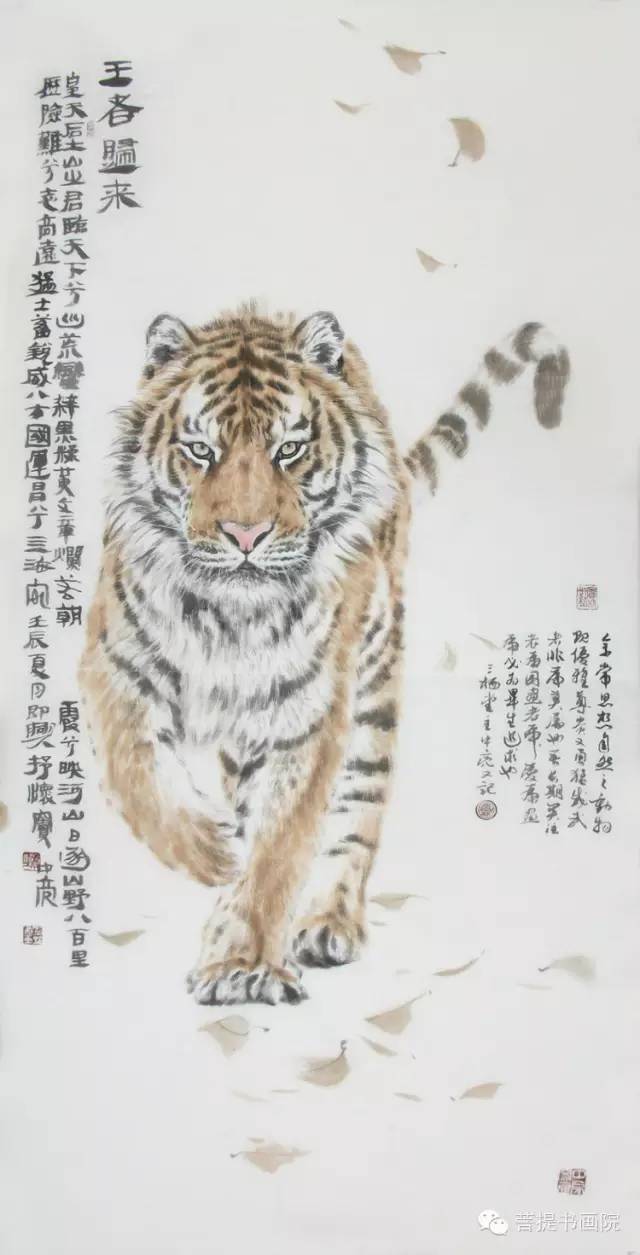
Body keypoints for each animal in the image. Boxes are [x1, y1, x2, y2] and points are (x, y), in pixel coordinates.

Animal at [79, 305, 569, 1006]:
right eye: (201, 451)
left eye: (289, 449)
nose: (247, 535)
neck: (231, 620)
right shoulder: (116, 669)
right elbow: (140, 780)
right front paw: (214, 852)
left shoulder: (305, 714)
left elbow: (281, 845)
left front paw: (242, 964)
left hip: (372, 694)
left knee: (355, 814)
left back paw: (326, 924)